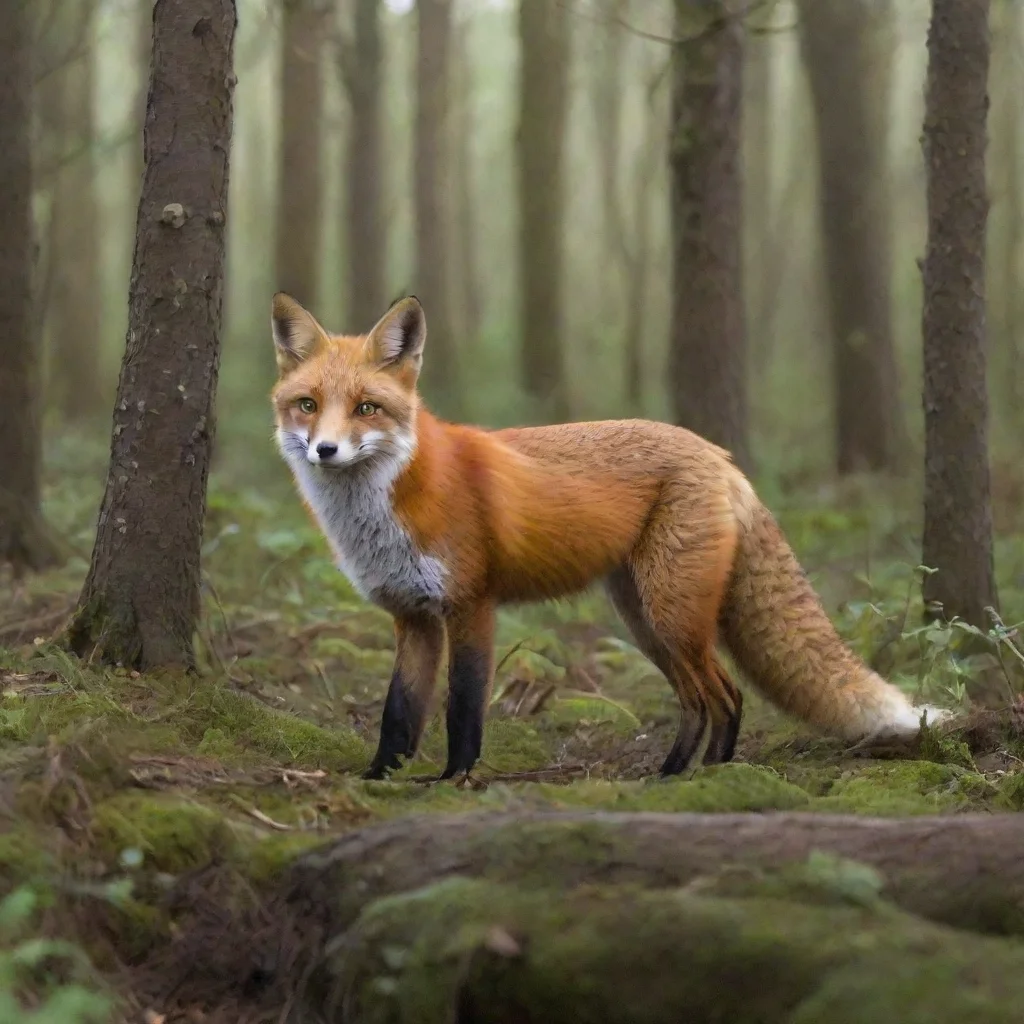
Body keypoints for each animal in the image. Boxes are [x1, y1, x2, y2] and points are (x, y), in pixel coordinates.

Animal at [269, 292, 949, 781]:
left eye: (366, 408)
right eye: (308, 405)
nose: (326, 450)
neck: (387, 507)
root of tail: (719, 456)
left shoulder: (470, 606)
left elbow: (463, 708)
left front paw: (452, 780)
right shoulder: (411, 616)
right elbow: (398, 712)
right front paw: (378, 778)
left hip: (672, 616)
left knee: (726, 694)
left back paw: (705, 778)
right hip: (645, 621)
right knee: (700, 700)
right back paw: (677, 772)